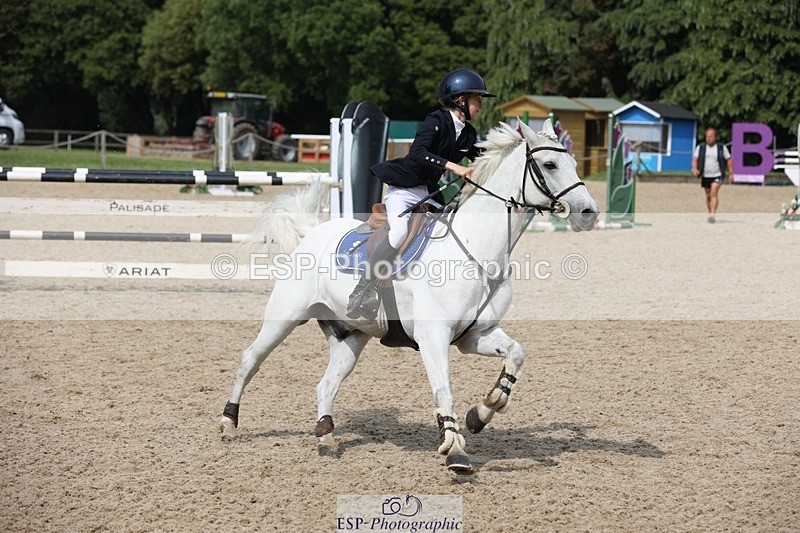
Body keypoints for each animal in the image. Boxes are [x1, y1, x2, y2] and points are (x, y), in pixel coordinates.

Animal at [218, 119, 599, 474]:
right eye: (549, 165)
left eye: (574, 163)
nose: (589, 213)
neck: (476, 251)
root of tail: (312, 233)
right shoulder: (433, 337)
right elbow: (444, 391)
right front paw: (455, 450)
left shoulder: (476, 335)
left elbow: (516, 355)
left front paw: (482, 413)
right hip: (284, 316)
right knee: (250, 360)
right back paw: (228, 423)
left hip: (352, 336)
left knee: (325, 385)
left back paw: (325, 438)